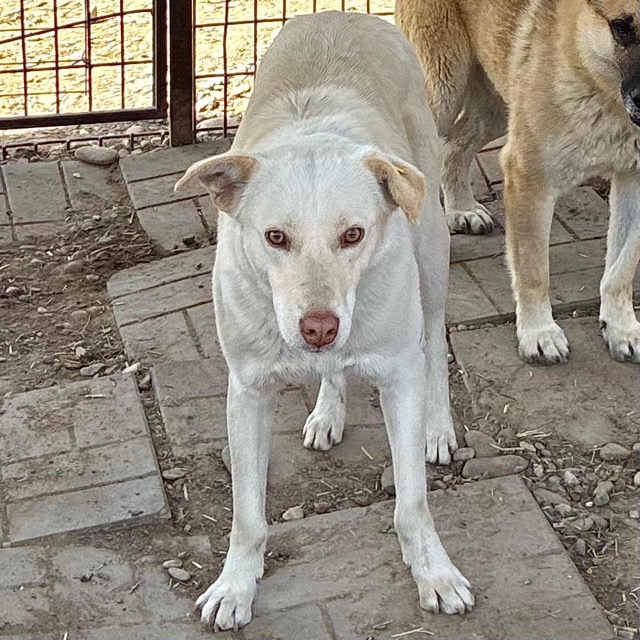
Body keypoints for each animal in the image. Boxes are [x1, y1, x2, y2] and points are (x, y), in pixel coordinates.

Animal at [175, 10, 473, 632]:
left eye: (353, 234)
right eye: (275, 237)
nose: (319, 328)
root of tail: (344, 13)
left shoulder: (398, 374)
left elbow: (412, 501)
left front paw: (433, 572)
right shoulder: (247, 391)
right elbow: (247, 516)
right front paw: (235, 585)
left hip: (432, 249)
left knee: (435, 345)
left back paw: (436, 427)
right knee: (335, 371)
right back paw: (327, 411)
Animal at [397, 0, 640, 365]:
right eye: (623, 27)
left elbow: (621, 269)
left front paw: (622, 327)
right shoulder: (529, 176)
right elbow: (533, 268)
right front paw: (538, 332)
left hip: (497, 104)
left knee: (452, 148)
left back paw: (461, 208)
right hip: (439, 94)